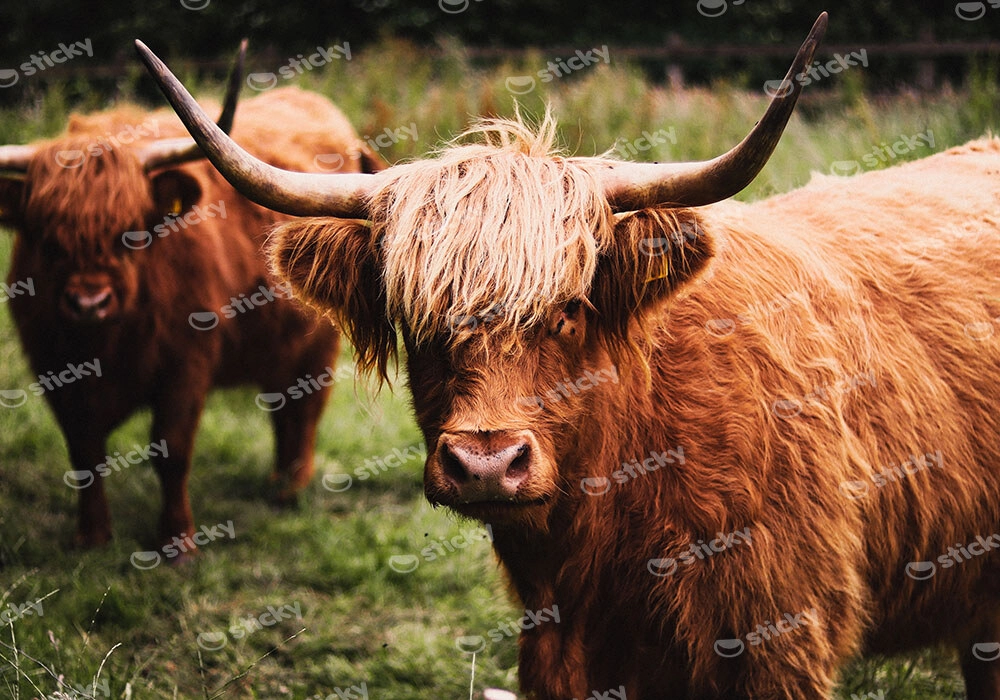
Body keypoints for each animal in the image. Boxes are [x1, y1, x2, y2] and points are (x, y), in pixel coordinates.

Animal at [0, 43, 385, 552]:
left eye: (131, 233)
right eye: (46, 237)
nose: (88, 303)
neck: (106, 343)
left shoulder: (186, 364)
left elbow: (172, 449)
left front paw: (177, 541)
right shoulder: (54, 369)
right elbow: (84, 453)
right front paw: (93, 537)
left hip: (319, 341)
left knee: (305, 409)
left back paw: (291, 490)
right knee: (283, 403)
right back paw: (278, 483)